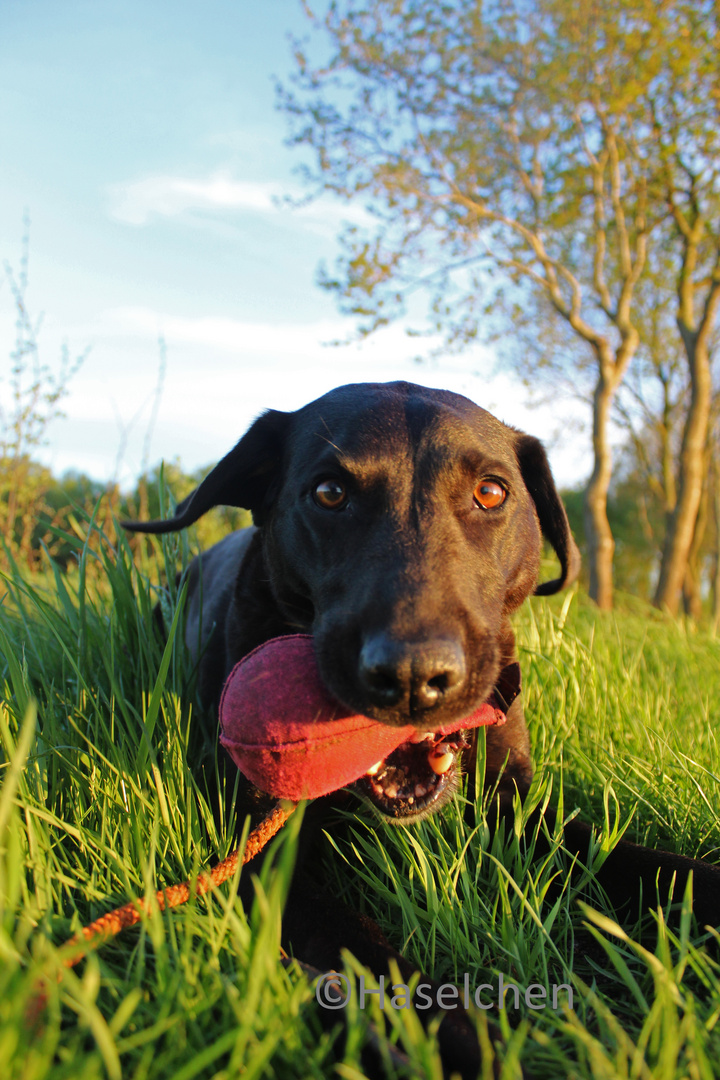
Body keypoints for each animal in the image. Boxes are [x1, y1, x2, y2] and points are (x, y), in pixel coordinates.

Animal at [125, 384, 720, 1075]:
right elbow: (375, 966)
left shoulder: (521, 812)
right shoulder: (265, 852)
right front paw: (472, 1044)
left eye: (490, 492)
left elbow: (657, 869)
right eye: (329, 492)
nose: (413, 675)